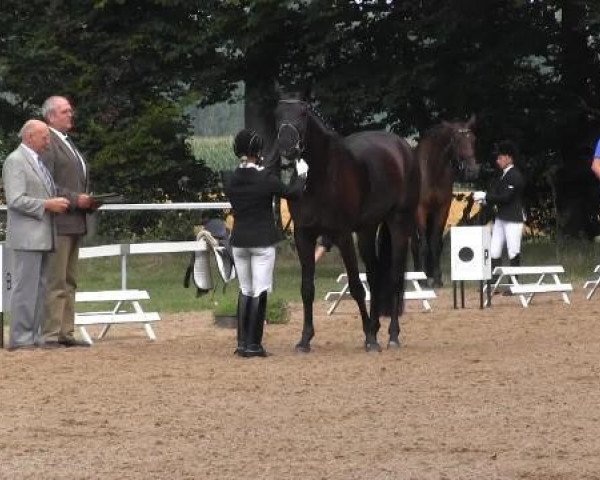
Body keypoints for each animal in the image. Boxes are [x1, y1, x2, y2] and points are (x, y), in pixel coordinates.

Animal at [274, 98, 420, 352]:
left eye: (303, 114)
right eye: (277, 115)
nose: (287, 146)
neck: (320, 176)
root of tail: (403, 147)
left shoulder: (341, 235)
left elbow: (355, 287)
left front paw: (370, 340)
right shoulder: (303, 235)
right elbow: (307, 288)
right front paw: (305, 339)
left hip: (399, 223)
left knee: (394, 277)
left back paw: (391, 336)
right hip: (366, 230)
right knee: (375, 274)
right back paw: (374, 327)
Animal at [412, 116, 478, 286]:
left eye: (473, 139)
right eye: (457, 140)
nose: (472, 171)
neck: (432, 170)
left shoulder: (442, 209)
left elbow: (435, 243)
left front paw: (437, 278)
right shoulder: (420, 210)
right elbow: (423, 245)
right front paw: (423, 280)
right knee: (415, 244)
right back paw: (418, 274)